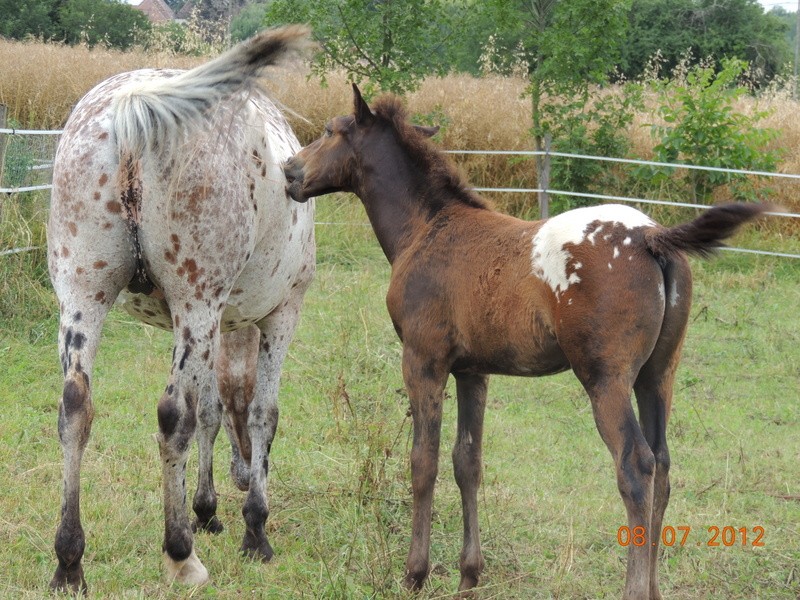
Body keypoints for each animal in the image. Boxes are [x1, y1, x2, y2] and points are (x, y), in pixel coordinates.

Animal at [46, 28, 316, 592]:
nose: (244, 476)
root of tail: (132, 109)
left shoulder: (214, 325)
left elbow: (211, 410)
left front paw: (207, 509)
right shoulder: (279, 316)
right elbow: (261, 413)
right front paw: (253, 528)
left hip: (84, 296)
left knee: (75, 408)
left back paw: (69, 561)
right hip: (196, 302)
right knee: (172, 416)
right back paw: (179, 554)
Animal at [286, 85, 768, 600]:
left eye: (331, 130)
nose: (290, 171)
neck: (426, 228)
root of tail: (653, 237)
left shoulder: (423, 360)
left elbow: (424, 462)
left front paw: (415, 573)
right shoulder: (472, 371)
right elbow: (467, 462)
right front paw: (468, 575)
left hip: (606, 379)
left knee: (636, 466)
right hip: (657, 376)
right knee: (662, 465)